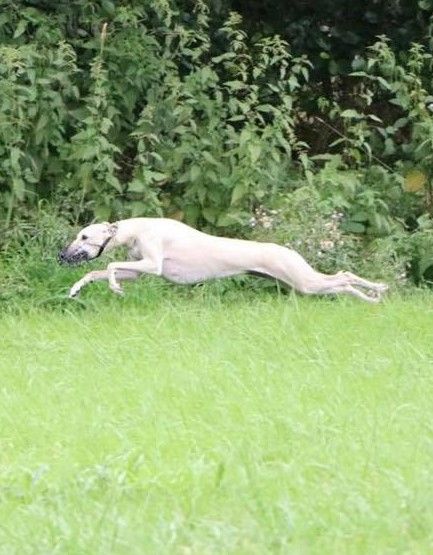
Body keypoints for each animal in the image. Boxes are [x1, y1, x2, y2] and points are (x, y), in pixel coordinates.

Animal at [58, 218, 388, 304]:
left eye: (84, 236)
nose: (61, 255)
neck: (135, 229)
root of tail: (288, 250)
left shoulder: (153, 264)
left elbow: (110, 267)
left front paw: (115, 288)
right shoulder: (139, 270)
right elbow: (97, 272)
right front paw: (75, 289)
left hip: (305, 282)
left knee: (344, 276)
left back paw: (374, 293)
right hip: (300, 283)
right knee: (342, 279)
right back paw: (375, 294)